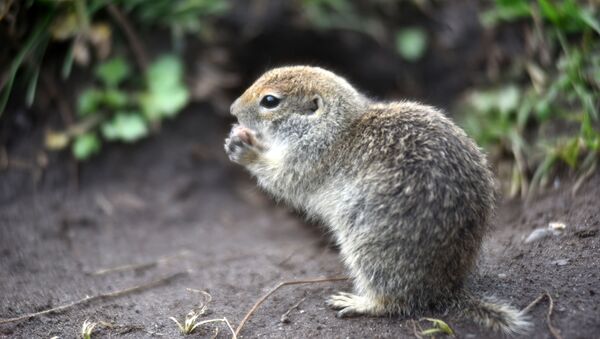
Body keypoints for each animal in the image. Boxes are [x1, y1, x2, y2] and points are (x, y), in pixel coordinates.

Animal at [224, 65, 528, 334]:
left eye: (270, 101)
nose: (232, 110)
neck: (335, 127)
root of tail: (446, 290)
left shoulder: (308, 158)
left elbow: (282, 179)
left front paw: (246, 149)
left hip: (368, 249)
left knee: (394, 302)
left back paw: (360, 303)